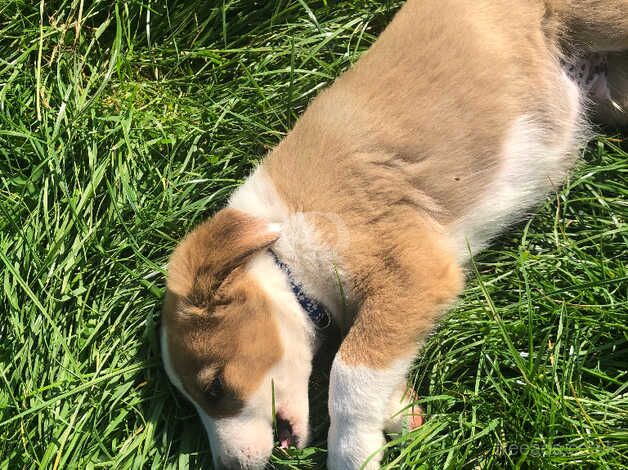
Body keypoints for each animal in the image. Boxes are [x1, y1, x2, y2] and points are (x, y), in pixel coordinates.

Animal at [159, 1, 624, 468]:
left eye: (214, 387)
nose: (229, 466)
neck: (286, 250)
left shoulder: (412, 268)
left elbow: (348, 373)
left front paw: (352, 451)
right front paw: (401, 411)